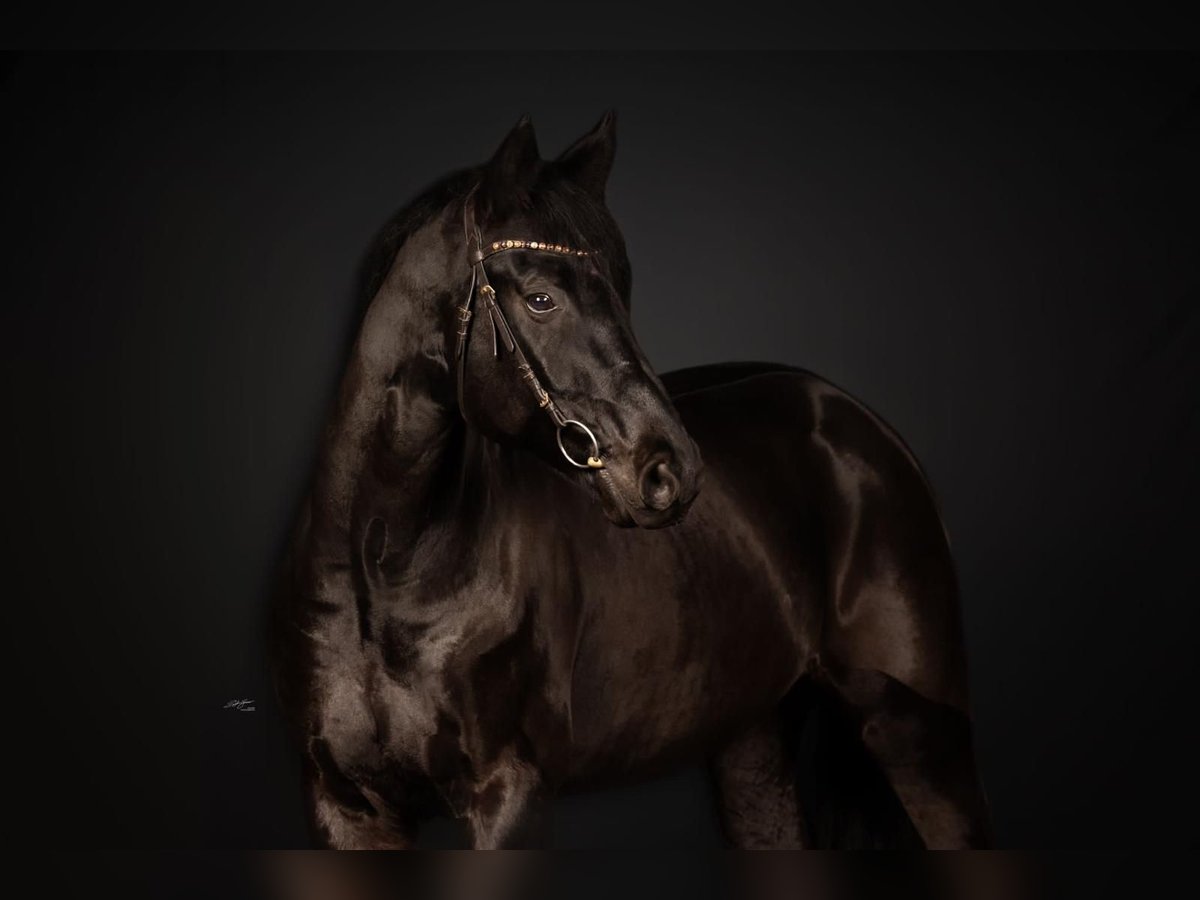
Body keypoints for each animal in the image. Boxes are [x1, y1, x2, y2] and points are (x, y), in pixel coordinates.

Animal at [271, 112, 992, 849]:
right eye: (540, 299)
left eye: (622, 288)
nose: (670, 471)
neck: (387, 565)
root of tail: (859, 422)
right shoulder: (346, 804)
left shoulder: (509, 797)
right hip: (755, 742)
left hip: (921, 738)